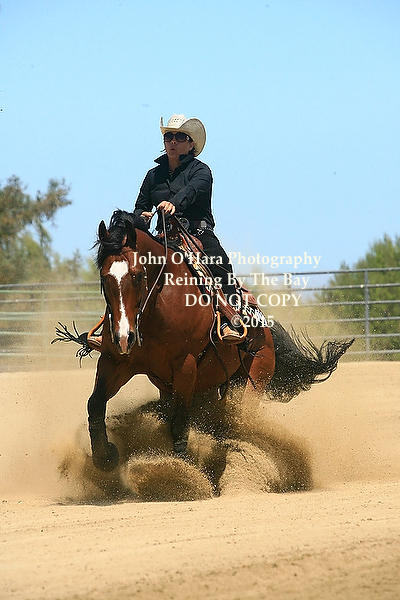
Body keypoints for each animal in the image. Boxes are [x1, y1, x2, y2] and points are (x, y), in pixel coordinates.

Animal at [59, 210, 354, 473]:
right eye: (104, 277)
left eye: (138, 275)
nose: (124, 336)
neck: (157, 308)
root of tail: (266, 334)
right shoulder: (115, 362)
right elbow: (95, 404)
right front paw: (105, 457)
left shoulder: (185, 366)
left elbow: (179, 422)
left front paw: (178, 473)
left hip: (251, 382)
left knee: (237, 421)